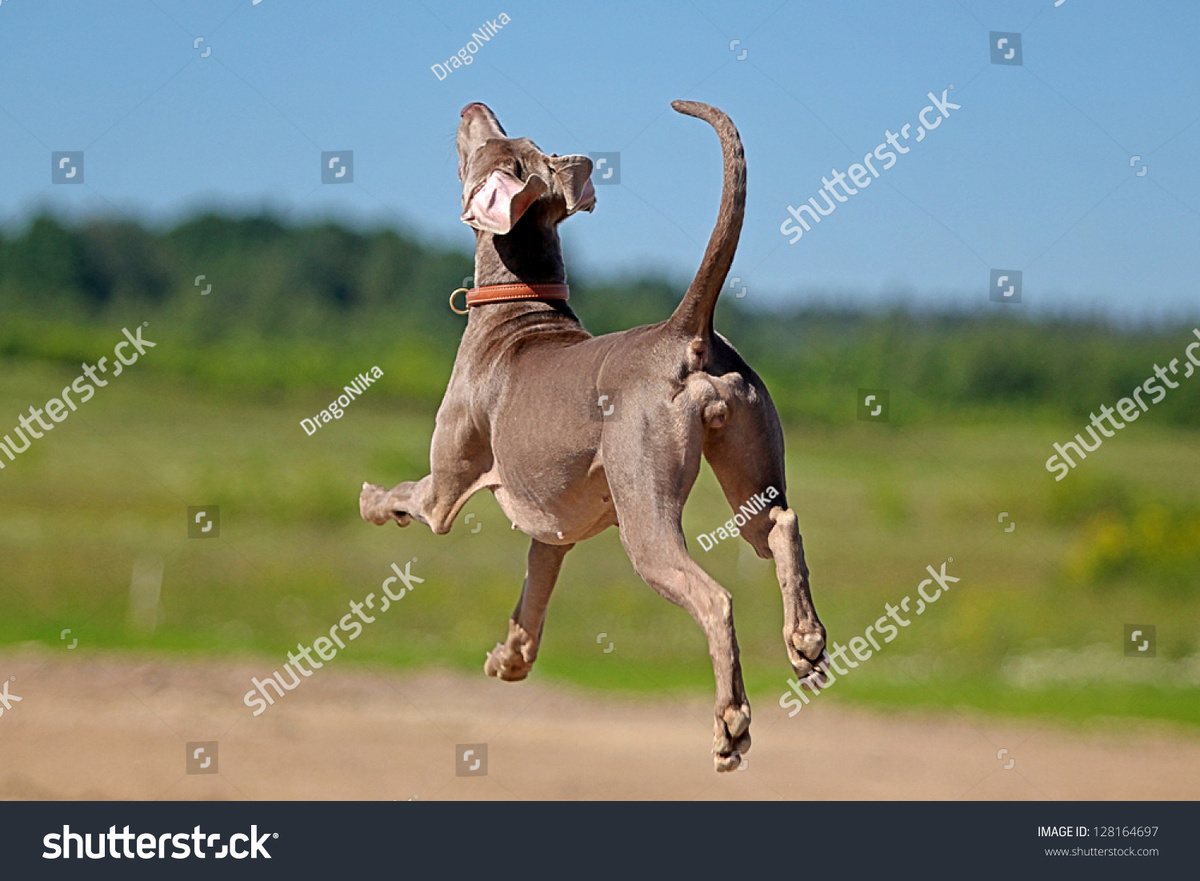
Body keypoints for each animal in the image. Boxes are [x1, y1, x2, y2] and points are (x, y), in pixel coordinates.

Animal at [355, 98, 825, 772]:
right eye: (519, 139)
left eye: (488, 148)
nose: (474, 106)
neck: (519, 305)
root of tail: (686, 332)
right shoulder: (553, 528)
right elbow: (533, 594)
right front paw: (510, 659)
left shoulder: (445, 489)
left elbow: (411, 496)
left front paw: (371, 501)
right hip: (750, 457)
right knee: (779, 525)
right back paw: (806, 642)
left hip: (645, 512)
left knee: (714, 598)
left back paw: (731, 726)